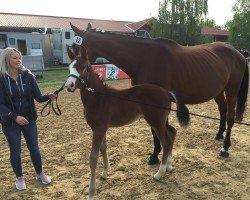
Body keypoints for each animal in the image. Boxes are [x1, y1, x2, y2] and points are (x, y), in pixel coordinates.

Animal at [64, 45, 189, 200]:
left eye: (83, 67)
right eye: (69, 67)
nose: (69, 85)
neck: (98, 98)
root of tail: (166, 92)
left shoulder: (99, 129)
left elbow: (93, 158)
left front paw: (91, 193)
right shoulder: (101, 129)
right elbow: (103, 148)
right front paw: (105, 173)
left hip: (157, 122)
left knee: (165, 141)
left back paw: (159, 174)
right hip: (161, 121)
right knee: (172, 133)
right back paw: (169, 166)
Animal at [70, 21, 248, 160]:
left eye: (75, 46)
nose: (72, 77)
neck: (143, 58)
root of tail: (237, 52)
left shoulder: (156, 102)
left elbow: (158, 130)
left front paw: (156, 155)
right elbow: (156, 130)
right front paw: (158, 154)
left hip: (232, 91)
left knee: (230, 116)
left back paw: (225, 147)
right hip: (218, 91)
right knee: (222, 109)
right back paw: (219, 134)